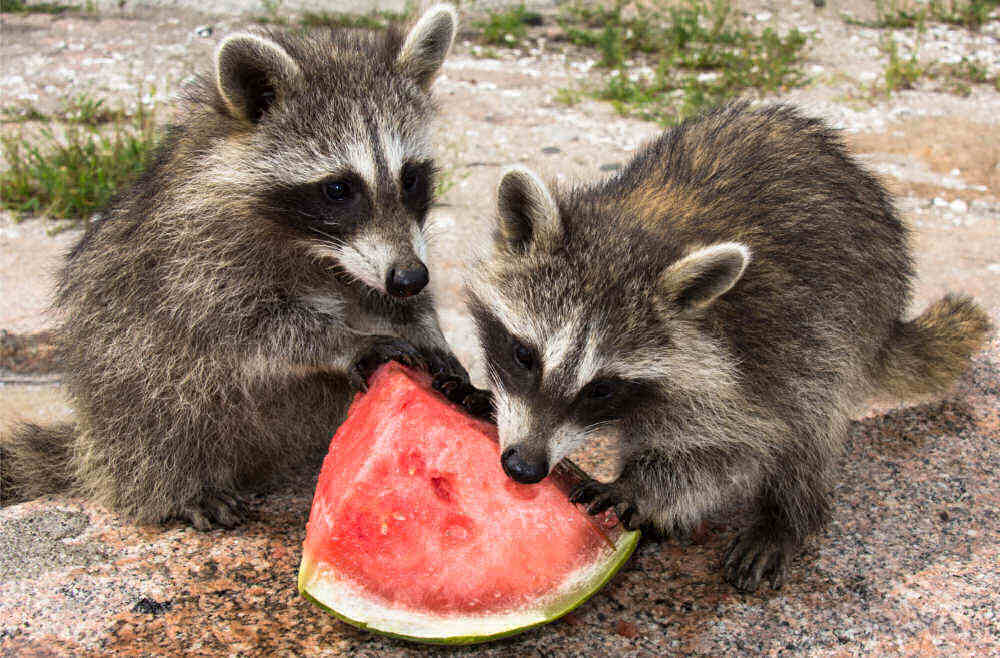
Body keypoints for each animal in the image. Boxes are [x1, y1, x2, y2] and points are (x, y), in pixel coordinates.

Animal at [0, 5, 478, 529]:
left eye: (411, 177)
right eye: (338, 189)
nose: (410, 278)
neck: (317, 249)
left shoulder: (375, 256)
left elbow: (385, 293)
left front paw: (426, 327)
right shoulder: (196, 256)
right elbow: (248, 328)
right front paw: (345, 340)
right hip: (119, 385)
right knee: (158, 406)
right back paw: (176, 486)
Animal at [466, 103, 992, 592]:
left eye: (602, 389)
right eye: (524, 356)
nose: (523, 467)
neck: (633, 228)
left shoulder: (743, 362)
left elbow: (728, 450)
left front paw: (639, 488)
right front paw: (479, 393)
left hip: (848, 320)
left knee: (813, 422)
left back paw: (787, 515)